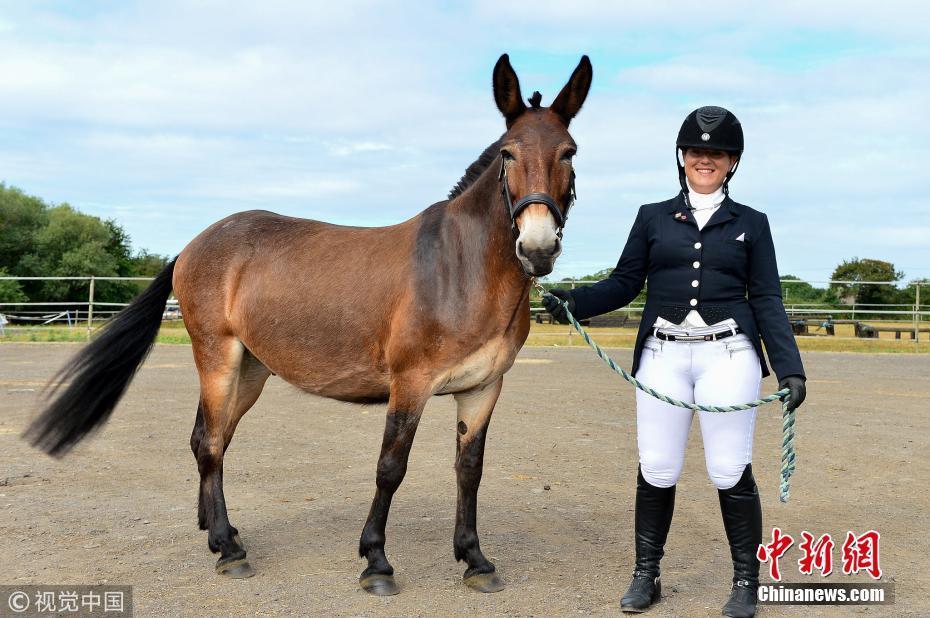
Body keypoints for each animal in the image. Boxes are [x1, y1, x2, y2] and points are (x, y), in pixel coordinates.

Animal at [25, 53, 592, 596]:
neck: (458, 267)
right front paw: (376, 563)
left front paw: (475, 560)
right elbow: (391, 468)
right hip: (217, 358)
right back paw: (230, 552)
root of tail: (193, 245)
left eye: (569, 152)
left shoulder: (482, 389)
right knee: (210, 443)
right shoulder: (409, 385)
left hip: (251, 371)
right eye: (508, 153)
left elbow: (469, 471)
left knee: (211, 439)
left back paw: (217, 533)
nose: (538, 248)